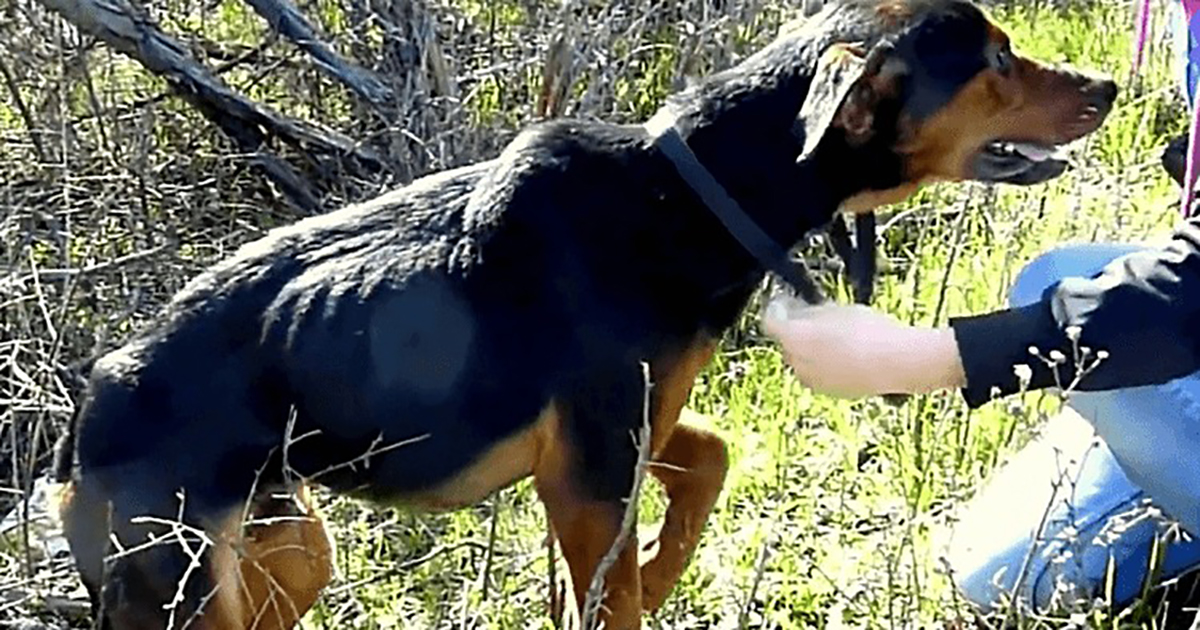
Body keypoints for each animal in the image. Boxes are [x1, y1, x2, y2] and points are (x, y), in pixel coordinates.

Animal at [54, 0, 1116, 627]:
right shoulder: (588, 477)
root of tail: (90, 402)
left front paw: (659, 566)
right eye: (995, 62)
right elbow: (616, 596)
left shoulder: (616, 439)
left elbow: (708, 465)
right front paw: (646, 578)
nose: (1107, 85)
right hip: (183, 587)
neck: (686, 193)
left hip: (284, 553)